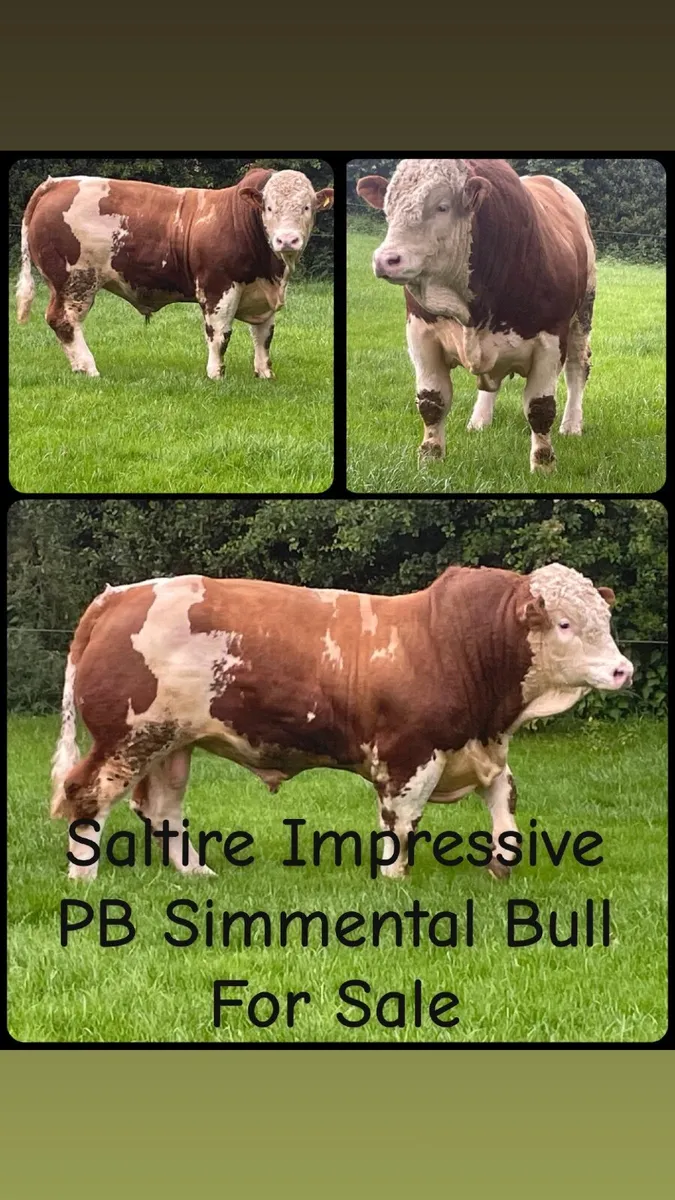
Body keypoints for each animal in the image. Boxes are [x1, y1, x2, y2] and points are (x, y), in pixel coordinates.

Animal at [16, 167, 333, 380]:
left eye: (307, 207)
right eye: (268, 207)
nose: (287, 240)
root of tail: (57, 183)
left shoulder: (264, 295)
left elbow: (264, 336)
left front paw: (264, 373)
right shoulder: (218, 287)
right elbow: (220, 333)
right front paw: (216, 374)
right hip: (76, 280)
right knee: (64, 320)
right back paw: (88, 367)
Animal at [50, 564, 632, 882]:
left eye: (605, 620)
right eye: (564, 623)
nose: (622, 669)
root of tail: (121, 594)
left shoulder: (482, 749)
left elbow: (505, 808)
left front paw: (500, 868)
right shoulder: (409, 755)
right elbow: (401, 822)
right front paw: (392, 880)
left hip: (172, 741)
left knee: (162, 808)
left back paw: (197, 872)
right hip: (126, 738)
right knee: (88, 794)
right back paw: (84, 878)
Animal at [356, 160, 596, 472]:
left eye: (442, 206)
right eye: (388, 208)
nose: (386, 259)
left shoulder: (551, 339)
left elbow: (541, 408)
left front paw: (543, 465)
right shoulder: (420, 332)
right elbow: (432, 400)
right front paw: (430, 457)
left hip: (583, 314)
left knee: (578, 368)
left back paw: (572, 424)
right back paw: (480, 420)